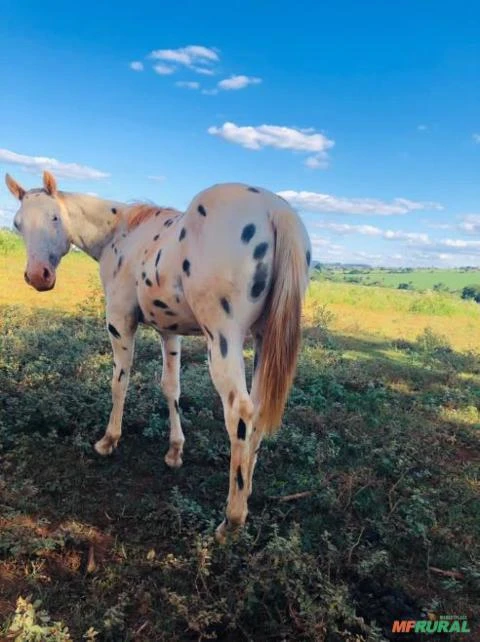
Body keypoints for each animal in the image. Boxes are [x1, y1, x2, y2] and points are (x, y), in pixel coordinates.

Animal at [5, 170, 314, 540]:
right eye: (18, 224)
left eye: (54, 217)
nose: (38, 276)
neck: (121, 234)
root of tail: (274, 210)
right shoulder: (169, 331)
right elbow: (171, 388)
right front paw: (175, 451)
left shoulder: (120, 322)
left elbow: (119, 383)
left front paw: (108, 441)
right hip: (263, 342)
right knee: (258, 410)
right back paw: (247, 491)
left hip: (223, 340)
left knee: (239, 412)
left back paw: (231, 520)